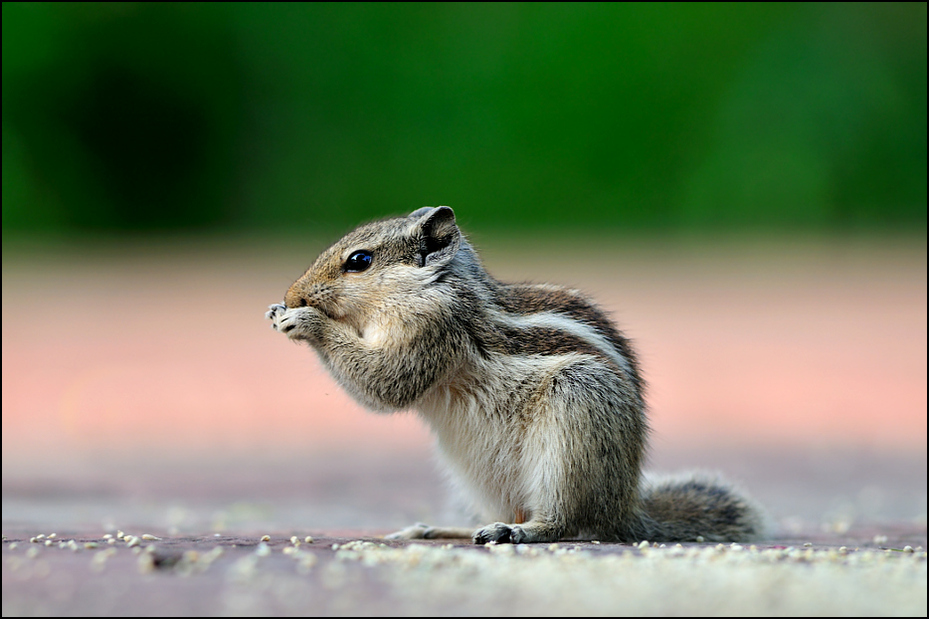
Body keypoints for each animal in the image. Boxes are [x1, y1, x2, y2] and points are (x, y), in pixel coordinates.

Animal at [264, 207, 764, 544]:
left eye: (360, 261)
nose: (292, 294)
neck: (433, 288)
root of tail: (624, 510)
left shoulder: (430, 330)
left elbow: (385, 383)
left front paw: (305, 321)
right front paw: (278, 312)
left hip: (578, 413)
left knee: (571, 524)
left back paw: (523, 532)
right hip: (478, 477)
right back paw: (446, 530)